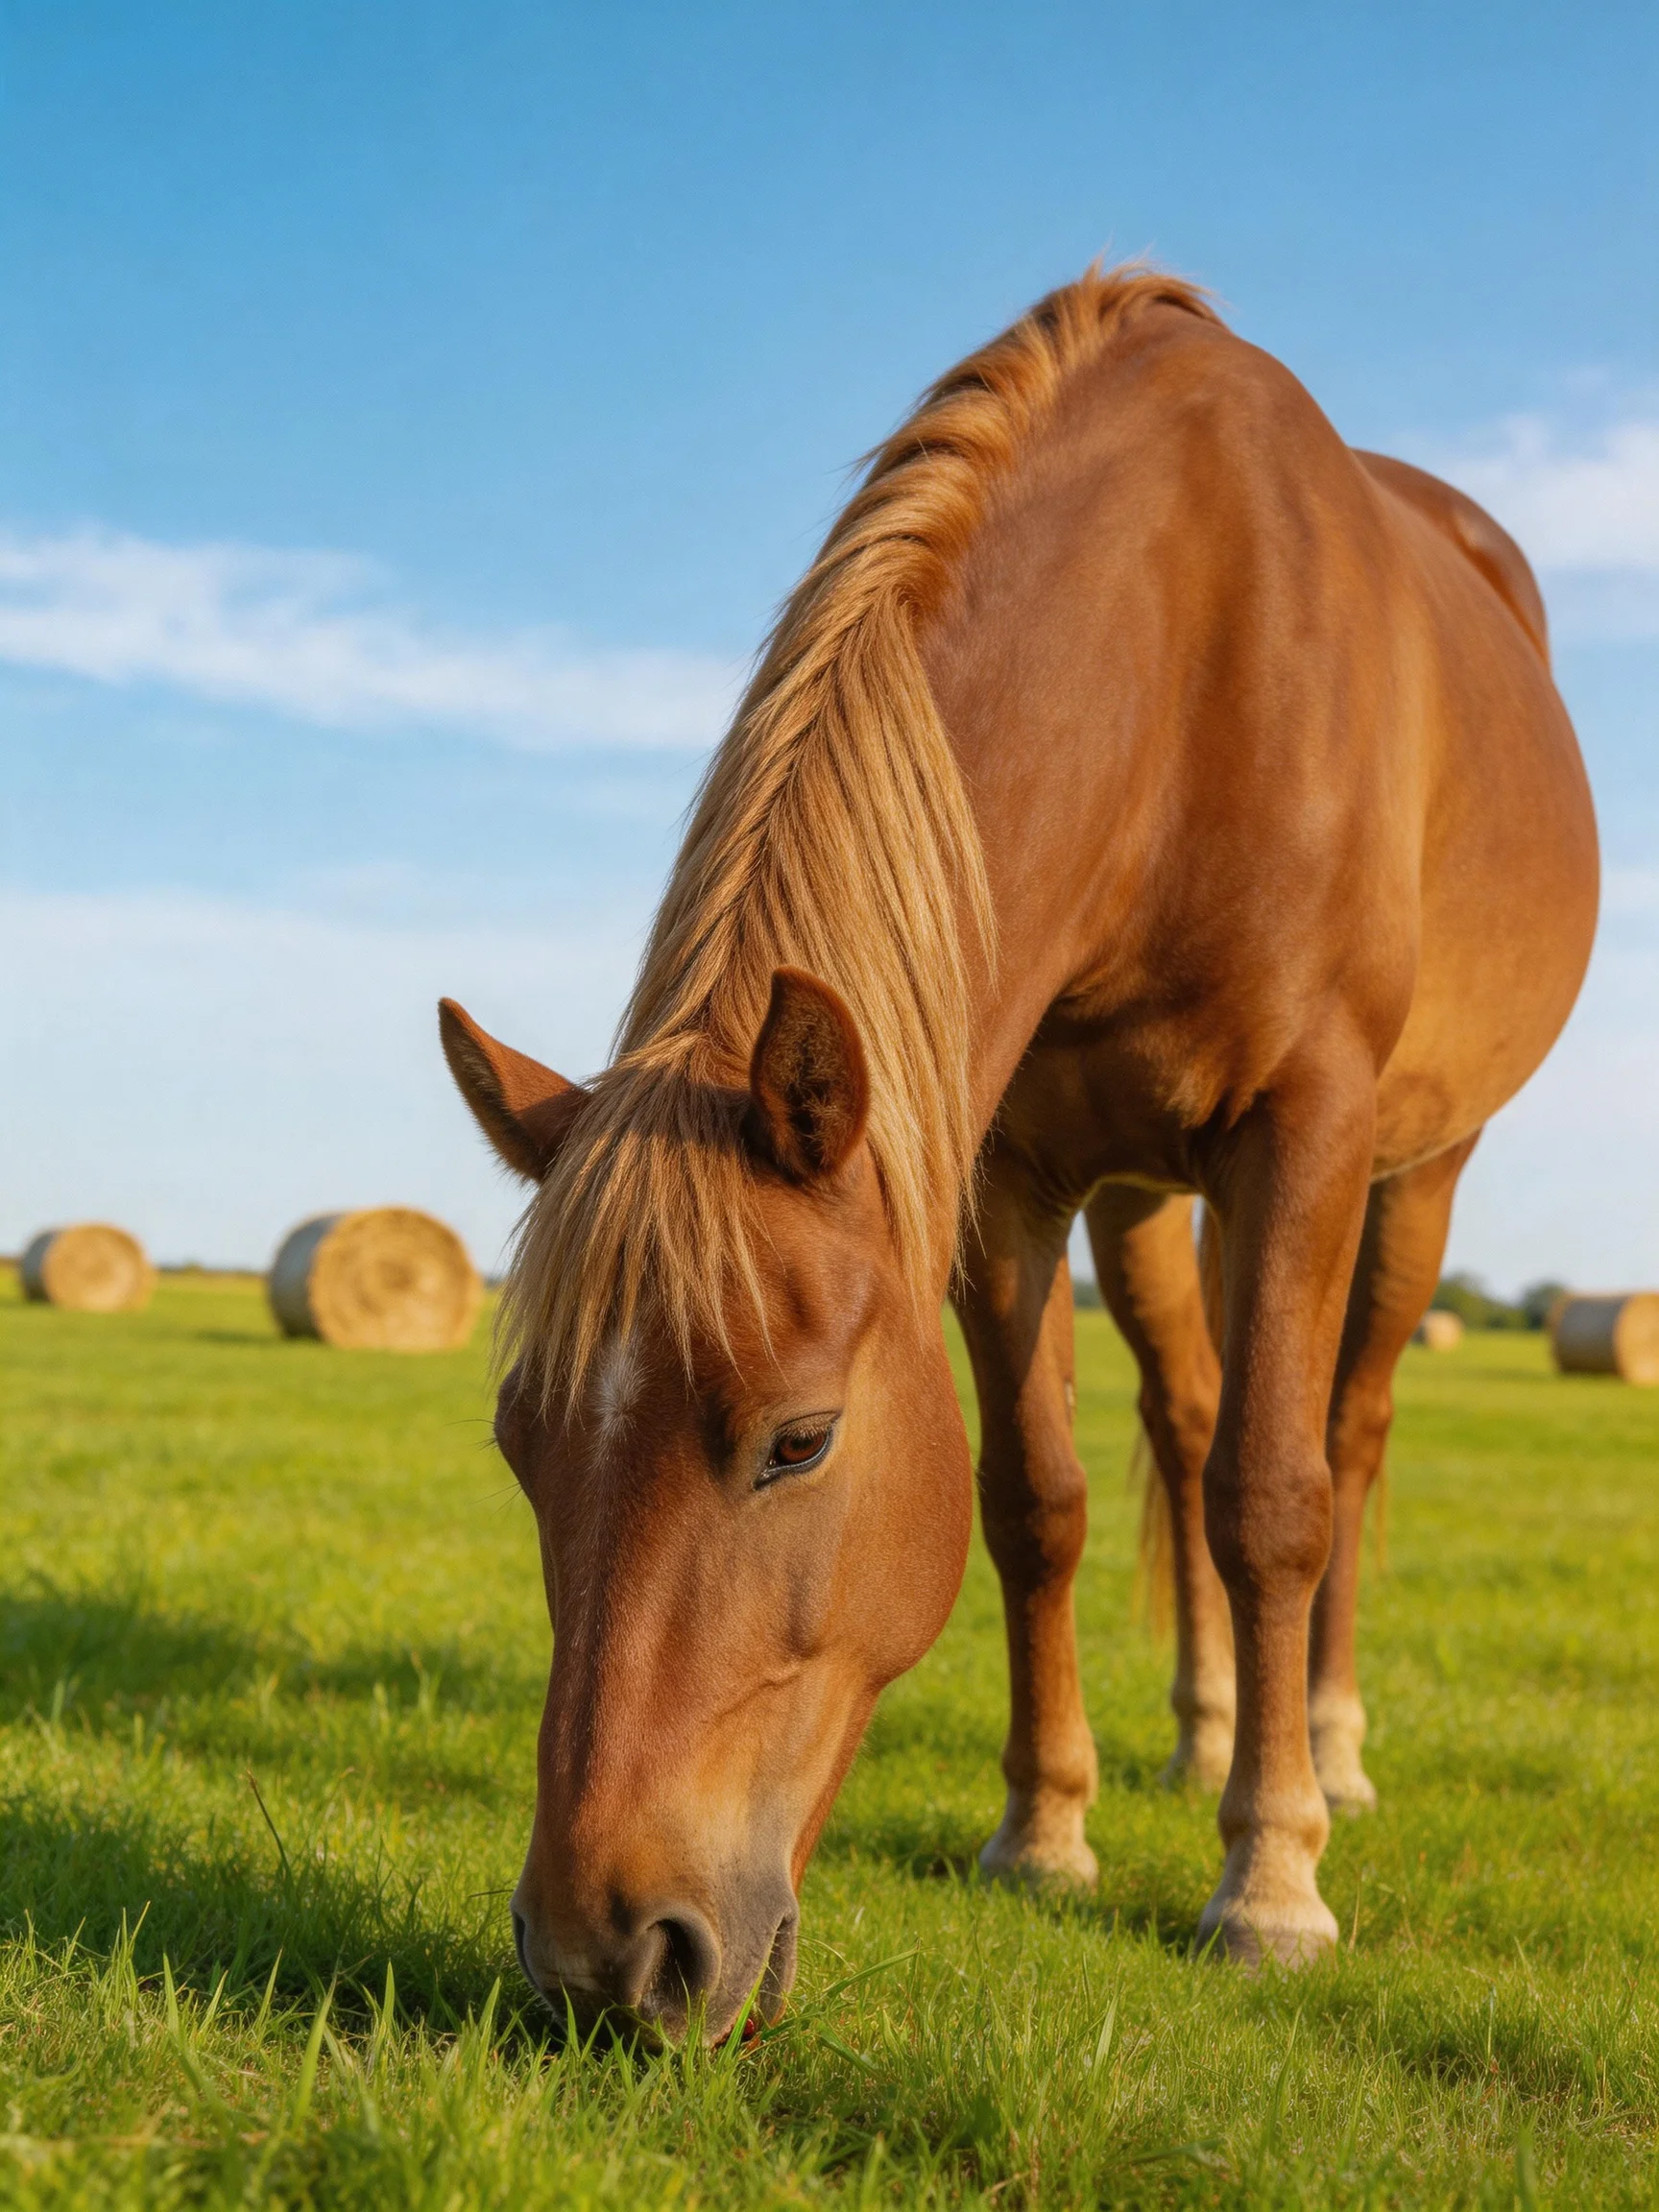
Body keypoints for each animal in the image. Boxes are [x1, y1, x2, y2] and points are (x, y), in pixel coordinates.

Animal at [440, 266, 1597, 2037]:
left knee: (1345, 1427)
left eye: (798, 1441)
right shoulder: (1003, 1177)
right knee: (1184, 1421)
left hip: (1416, 1170)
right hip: (1145, 1200)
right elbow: (1038, 1499)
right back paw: (1207, 1728)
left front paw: (1270, 1879)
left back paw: (1320, 1746)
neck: (1184, 661)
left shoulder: (1307, 1127)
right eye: (520, 1442)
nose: (600, 1956)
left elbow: (1278, 1492)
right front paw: (1045, 1832)